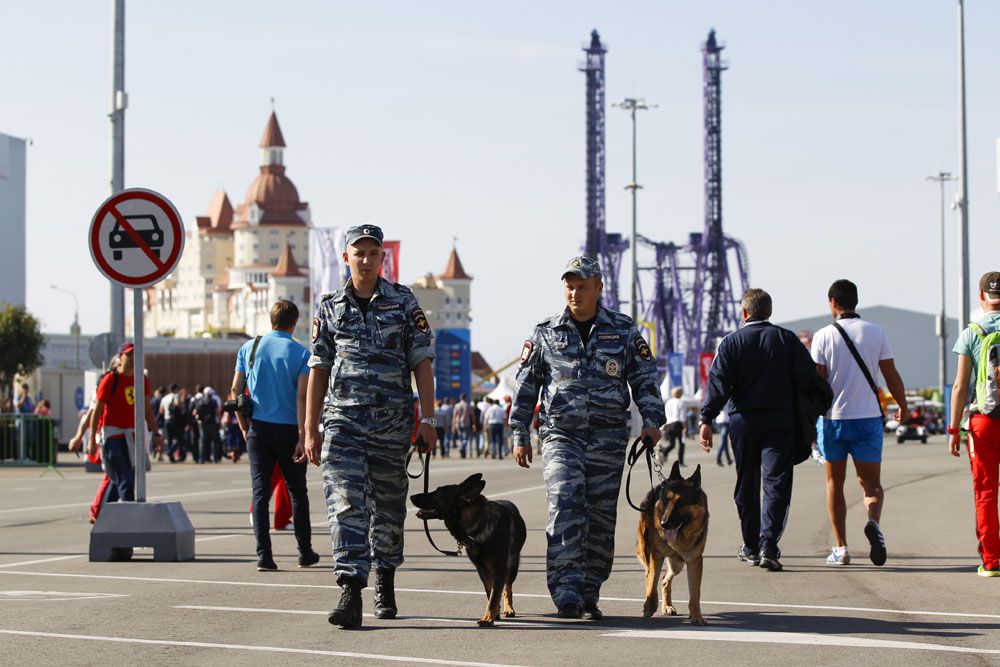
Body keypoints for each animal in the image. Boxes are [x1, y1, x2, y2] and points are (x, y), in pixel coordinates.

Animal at [408, 474, 528, 628]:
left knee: (508, 588)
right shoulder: (482, 570)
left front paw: (487, 619)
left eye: (437, 493)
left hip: (512, 566)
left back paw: (509, 608)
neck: (478, 526)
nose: (411, 496)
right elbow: (490, 594)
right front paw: (493, 615)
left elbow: (494, 596)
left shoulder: (499, 570)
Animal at [636, 460, 708, 628]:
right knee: (649, 575)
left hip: (677, 564)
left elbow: (695, 594)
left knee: (664, 579)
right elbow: (652, 581)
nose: (664, 524)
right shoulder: (656, 555)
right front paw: (649, 606)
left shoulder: (694, 562)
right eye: (665, 500)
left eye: (681, 503)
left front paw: (696, 616)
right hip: (651, 553)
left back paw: (667, 606)